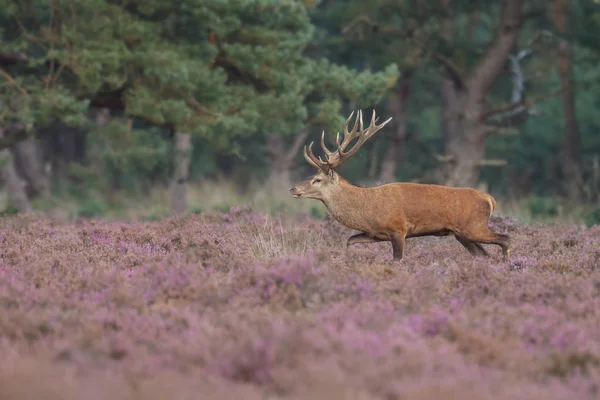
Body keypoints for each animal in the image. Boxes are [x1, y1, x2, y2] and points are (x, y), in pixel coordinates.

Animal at [290, 108, 510, 262]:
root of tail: (489, 199)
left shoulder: (398, 229)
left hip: (474, 226)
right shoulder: (375, 234)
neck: (367, 209)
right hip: (462, 234)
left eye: (317, 179)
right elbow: (349, 241)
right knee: (484, 254)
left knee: (505, 238)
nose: (293, 188)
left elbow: (398, 260)